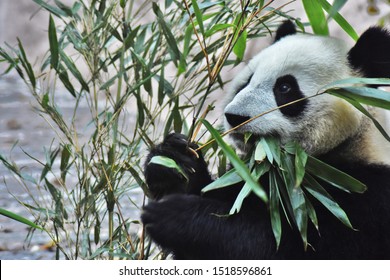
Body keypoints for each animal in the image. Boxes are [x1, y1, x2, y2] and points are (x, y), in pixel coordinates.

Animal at [142, 20, 390, 260]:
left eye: (285, 87)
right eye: (247, 81)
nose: (235, 117)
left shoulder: (366, 200)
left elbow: (284, 248)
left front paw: (176, 217)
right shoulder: (251, 179)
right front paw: (173, 161)